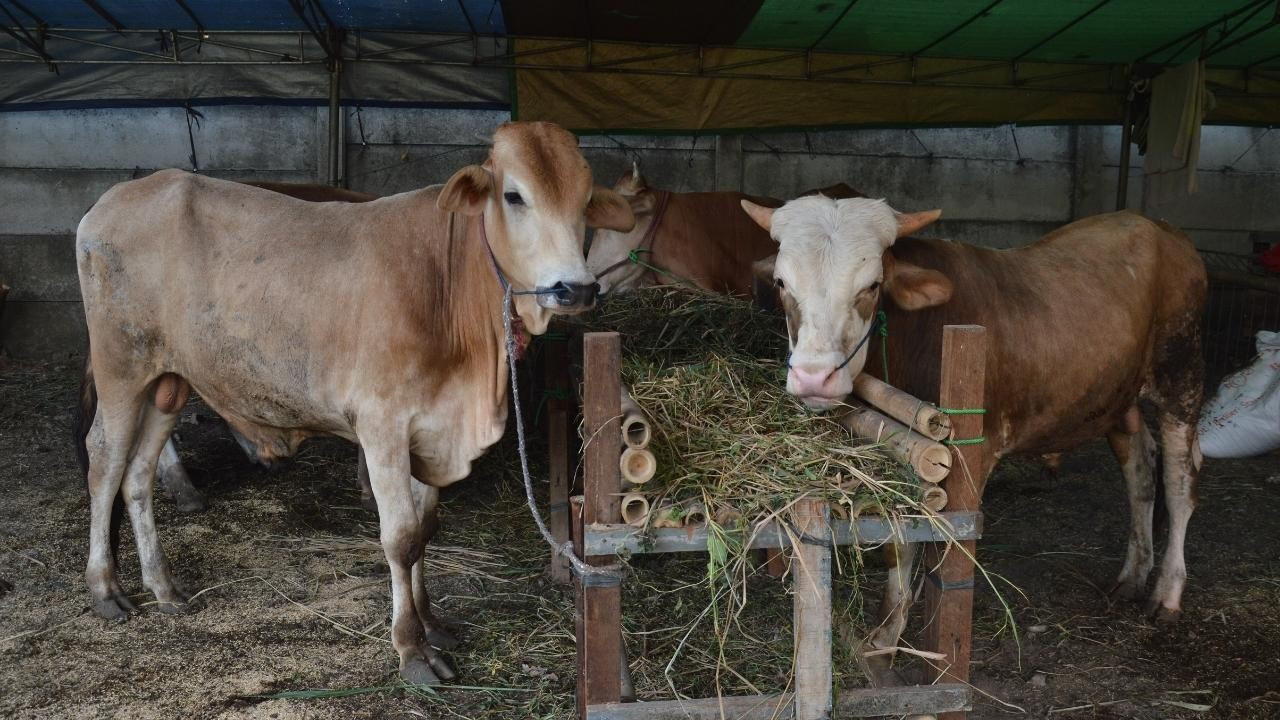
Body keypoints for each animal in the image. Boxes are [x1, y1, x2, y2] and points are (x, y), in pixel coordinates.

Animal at [72, 120, 632, 681]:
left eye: (585, 200)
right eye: (514, 196)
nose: (575, 289)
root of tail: (113, 198)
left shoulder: (427, 431)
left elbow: (425, 529)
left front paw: (432, 622)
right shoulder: (382, 426)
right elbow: (400, 538)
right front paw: (411, 648)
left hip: (168, 382)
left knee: (138, 474)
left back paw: (163, 587)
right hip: (121, 368)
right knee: (105, 461)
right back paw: (105, 587)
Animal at [747, 194, 1203, 676]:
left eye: (871, 286)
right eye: (781, 282)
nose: (814, 377)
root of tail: (1157, 225)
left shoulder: (972, 453)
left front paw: (908, 639)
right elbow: (896, 542)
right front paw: (885, 635)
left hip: (1182, 375)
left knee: (1179, 484)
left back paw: (1167, 592)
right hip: (1116, 399)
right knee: (1140, 470)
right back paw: (1133, 575)